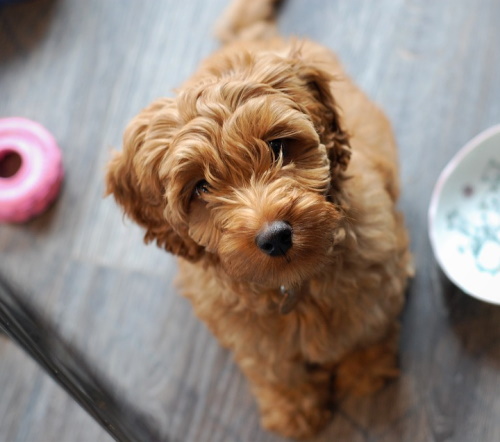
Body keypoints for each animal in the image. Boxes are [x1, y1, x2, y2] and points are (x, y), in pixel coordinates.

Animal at [104, 0, 410, 436]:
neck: (294, 287)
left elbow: (367, 327)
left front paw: (364, 370)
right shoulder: (243, 330)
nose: (275, 236)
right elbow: (273, 365)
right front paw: (294, 409)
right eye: (200, 187)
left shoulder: (377, 275)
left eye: (278, 146)